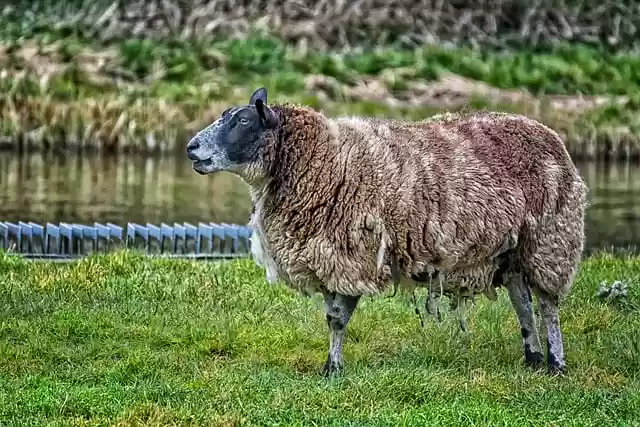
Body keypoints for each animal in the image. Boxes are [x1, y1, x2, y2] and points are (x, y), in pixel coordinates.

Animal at [186, 87, 589, 377]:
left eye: (242, 121)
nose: (191, 148)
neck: (323, 162)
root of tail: (550, 134)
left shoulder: (353, 258)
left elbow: (337, 318)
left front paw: (333, 370)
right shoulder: (329, 257)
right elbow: (331, 316)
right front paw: (330, 365)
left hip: (551, 240)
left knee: (547, 305)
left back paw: (556, 364)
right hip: (512, 250)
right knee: (522, 301)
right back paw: (532, 358)